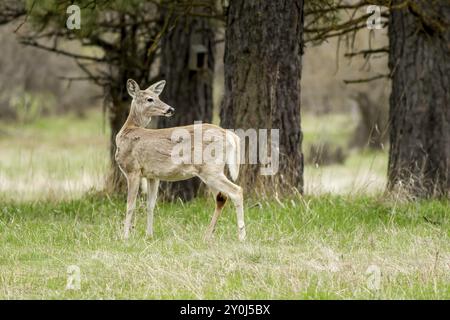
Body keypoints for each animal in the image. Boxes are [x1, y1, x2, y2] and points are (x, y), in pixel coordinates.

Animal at [114, 80, 244, 242]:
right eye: (150, 99)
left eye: (157, 96)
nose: (170, 109)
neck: (128, 130)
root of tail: (229, 134)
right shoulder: (152, 175)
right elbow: (150, 205)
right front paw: (149, 235)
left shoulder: (133, 169)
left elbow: (130, 205)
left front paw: (125, 237)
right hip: (211, 171)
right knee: (222, 197)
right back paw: (207, 236)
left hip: (210, 169)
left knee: (236, 191)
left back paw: (241, 236)